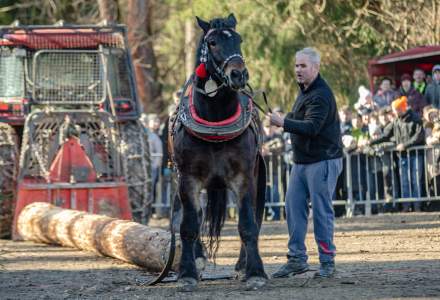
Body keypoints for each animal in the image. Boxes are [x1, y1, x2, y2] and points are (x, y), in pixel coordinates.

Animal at [171, 13, 266, 290]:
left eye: (239, 39)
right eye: (212, 42)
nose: (238, 74)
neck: (214, 121)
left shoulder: (243, 177)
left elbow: (247, 224)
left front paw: (254, 271)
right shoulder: (188, 179)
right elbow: (189, 224)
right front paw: (188, 272)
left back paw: (243, 264)